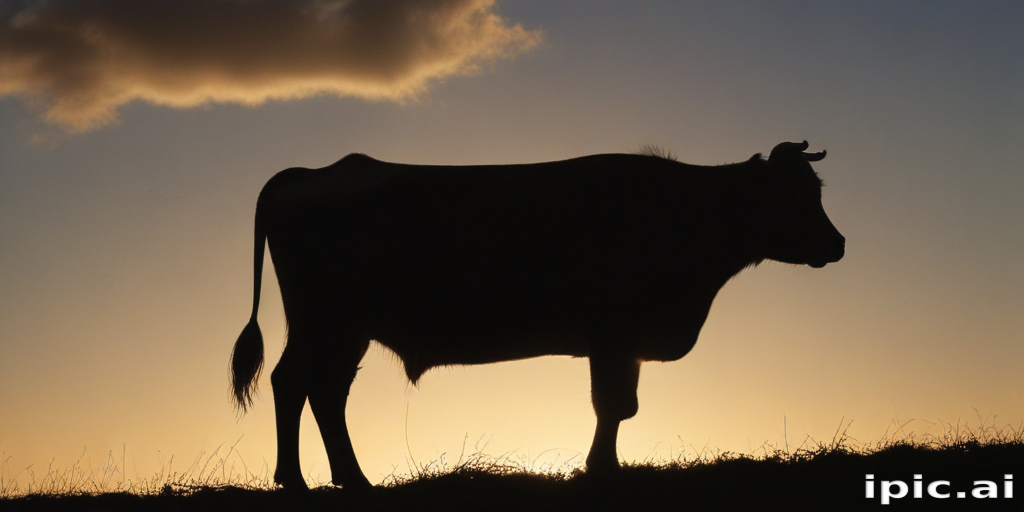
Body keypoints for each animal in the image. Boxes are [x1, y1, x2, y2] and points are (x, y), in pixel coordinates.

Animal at [230, 140, 844, 491]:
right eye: (795, 195)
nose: (838, 244)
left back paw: (348, 480)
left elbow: (621, 407)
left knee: (321, 392)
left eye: (815, 189)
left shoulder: (622, 343)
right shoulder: (613, 335)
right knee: (295, 384)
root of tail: (315, 171)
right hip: (326, 321)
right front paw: (600, 470)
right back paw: (299, 480)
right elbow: (613, 406)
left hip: (342, 329)